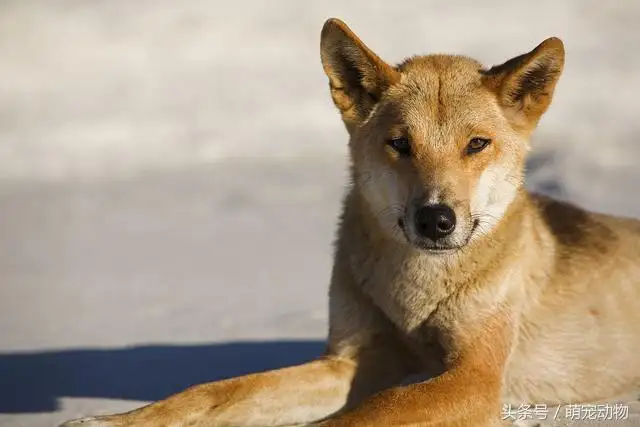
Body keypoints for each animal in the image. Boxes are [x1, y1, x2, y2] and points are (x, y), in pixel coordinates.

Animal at [60, 17, 640, 427]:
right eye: (400, 144)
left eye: (477, 144)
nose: (436, 219)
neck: (415, 293)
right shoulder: (355, 359)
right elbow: (219, 391)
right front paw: (115, 420)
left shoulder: (475, 378)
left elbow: (367, 414)